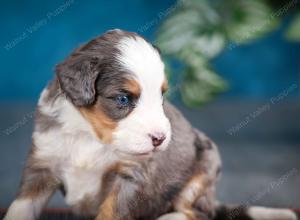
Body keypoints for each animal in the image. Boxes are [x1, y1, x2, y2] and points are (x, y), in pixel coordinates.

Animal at [3, 29, 296, 220]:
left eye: (161, 95)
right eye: (123, 98)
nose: (160, 139)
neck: (89, 136)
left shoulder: (131, 175)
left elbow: (112, 212)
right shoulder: (42, 166)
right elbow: (20, 209)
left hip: (205, 166)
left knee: (197, 212)